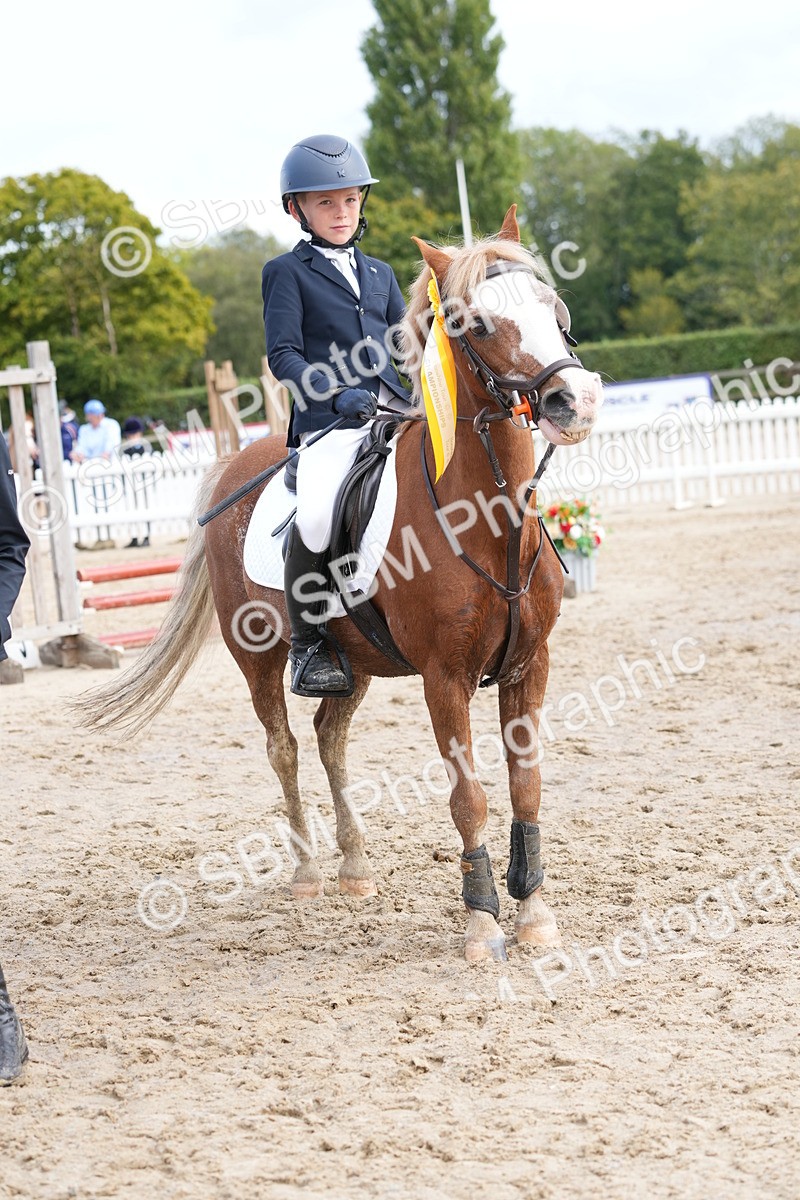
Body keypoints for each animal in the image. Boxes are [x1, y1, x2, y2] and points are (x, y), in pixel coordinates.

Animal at [81, 206, 603, 961]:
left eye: (552, 307)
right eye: (475, 324)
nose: (576, 400)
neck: (483, 519)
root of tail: (241, 458)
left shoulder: (528, 666)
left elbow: (527, 786)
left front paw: (534, 913)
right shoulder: (444, 678)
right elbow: (468, 796)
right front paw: (481, 922)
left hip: (350, 661)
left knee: (330, 738)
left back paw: (355, 866)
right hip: (258, 657)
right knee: (285, 748)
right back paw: (306, 872)